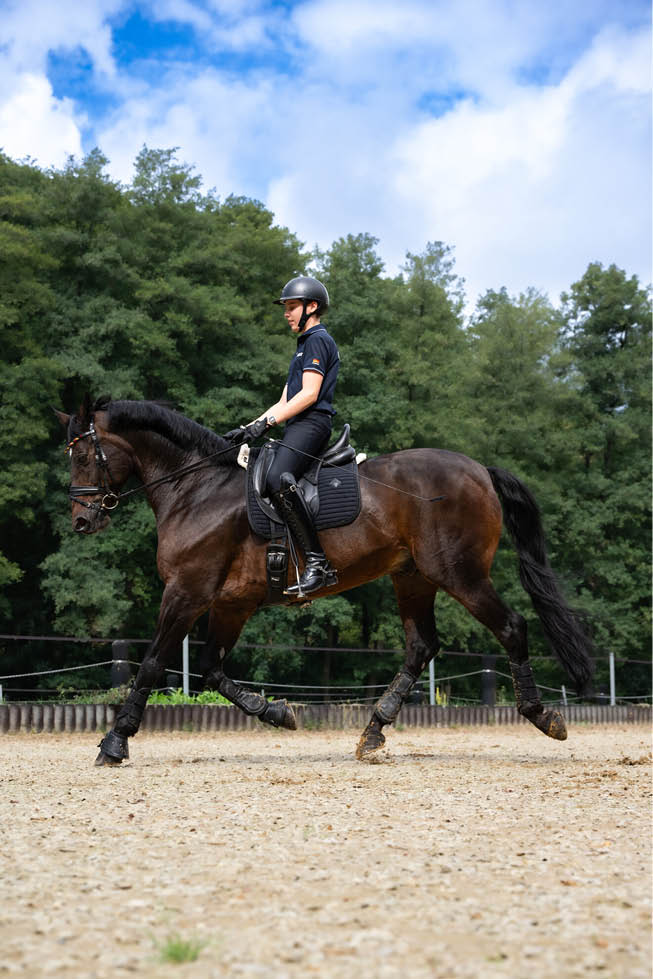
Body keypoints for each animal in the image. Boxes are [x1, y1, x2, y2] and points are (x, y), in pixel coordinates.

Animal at [55, 395, 593, 766]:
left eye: (82, 457)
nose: (81, 522)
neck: (195, 490)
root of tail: (479, 468)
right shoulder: (230, 604)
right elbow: (210, 670)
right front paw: (275, 712)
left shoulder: (187, 592)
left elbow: (151, 664)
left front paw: (115, 742)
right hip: (413, 577)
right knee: (421, 646)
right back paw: (373, 732)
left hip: (459, 573)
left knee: (511, 627)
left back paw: (543, 716)